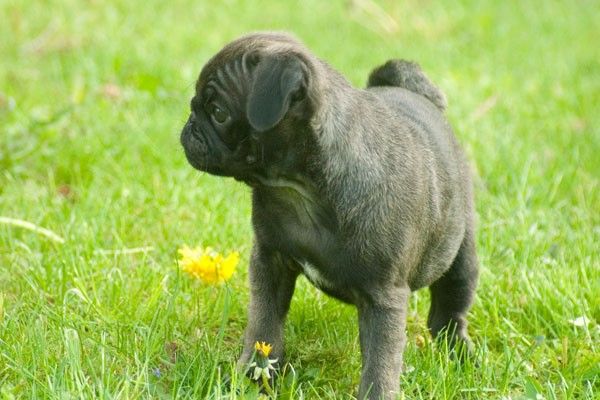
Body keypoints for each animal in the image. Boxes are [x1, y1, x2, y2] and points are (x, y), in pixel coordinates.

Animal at [180, 32, 480, 400]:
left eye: (219, 112)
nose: (189, 126)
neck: (300, 192)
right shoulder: (269, 260)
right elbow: (264, 326)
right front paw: (253, 377)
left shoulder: (384, 298)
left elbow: (381, 362)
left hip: (460, 252)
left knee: (450, 308)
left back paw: (458, 351)